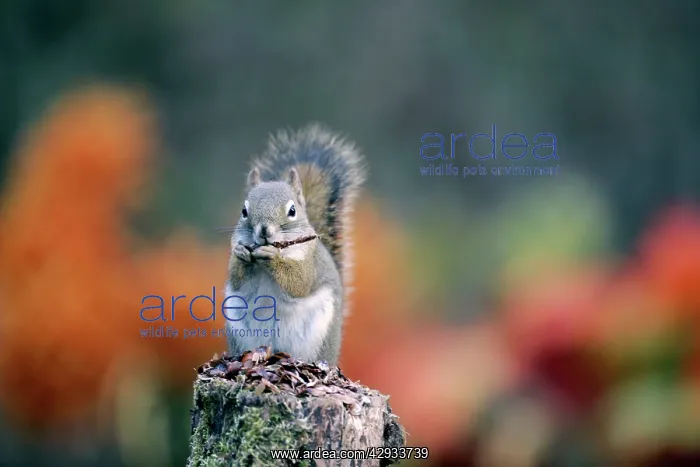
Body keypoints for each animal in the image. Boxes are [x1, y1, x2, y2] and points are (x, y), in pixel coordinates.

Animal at [225, 124, 366, 366]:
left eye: (292, 211)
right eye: (244, 211)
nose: (264, 232)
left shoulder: (310, 263)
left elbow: (298, 282)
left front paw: (272, 257)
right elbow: (237, 281)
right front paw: (241, 254)